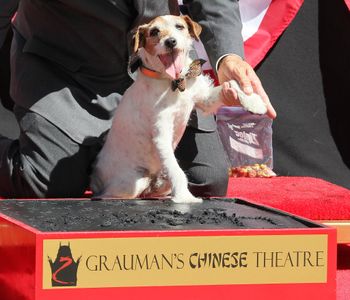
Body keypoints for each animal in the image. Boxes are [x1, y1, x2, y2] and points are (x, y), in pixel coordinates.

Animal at [90, 13, 266, 202]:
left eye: (179, 26)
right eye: (154, 32)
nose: (171, 42)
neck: (173, 82)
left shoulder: (204, 99)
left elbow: (232, 83)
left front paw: (254, 101)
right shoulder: (162, 134)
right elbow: (177, 171)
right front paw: (185, 197)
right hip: (133, 182)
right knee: (109, 195)